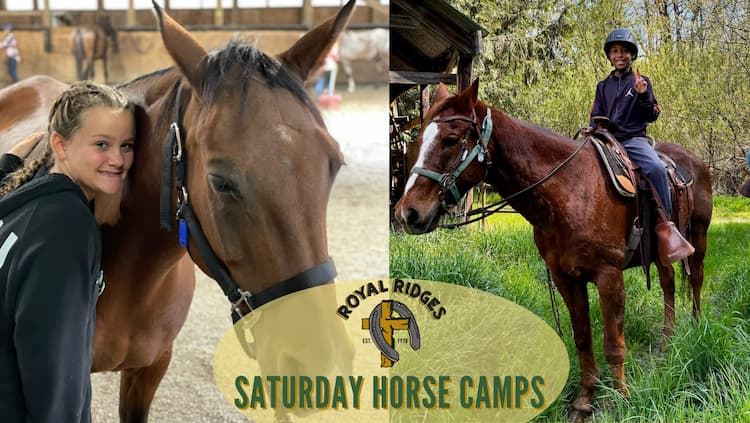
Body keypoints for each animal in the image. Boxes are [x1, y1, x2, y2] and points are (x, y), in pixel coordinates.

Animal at [394, 80, 713, 420]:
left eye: (451, 140)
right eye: (419, 141)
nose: (407, 213)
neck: (569, 189)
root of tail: (694, 162)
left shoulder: (609, 276)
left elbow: (614, 344)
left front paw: (622, 400)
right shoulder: (565, 278)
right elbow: (582, 337)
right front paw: (585, 399)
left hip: (699, 238)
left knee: (695, 280)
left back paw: (696, 327)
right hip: (659, 253)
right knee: (668, 283)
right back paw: (667, 339)